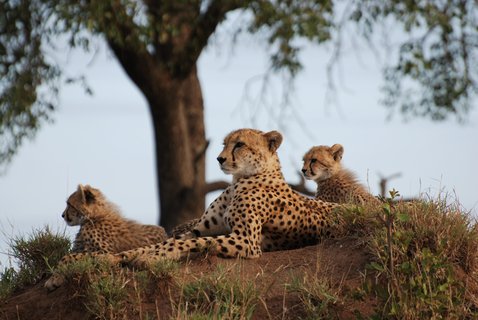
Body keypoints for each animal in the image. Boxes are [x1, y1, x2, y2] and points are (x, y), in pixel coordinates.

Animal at [110, 128, 342, 268]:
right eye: (224, 144)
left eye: (239, 144)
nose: (219, 158)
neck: (239, 180)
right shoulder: (198, 229)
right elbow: (165, 242)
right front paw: (114, 257)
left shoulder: (247, 240)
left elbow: (192, 243)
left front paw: (148, 258)